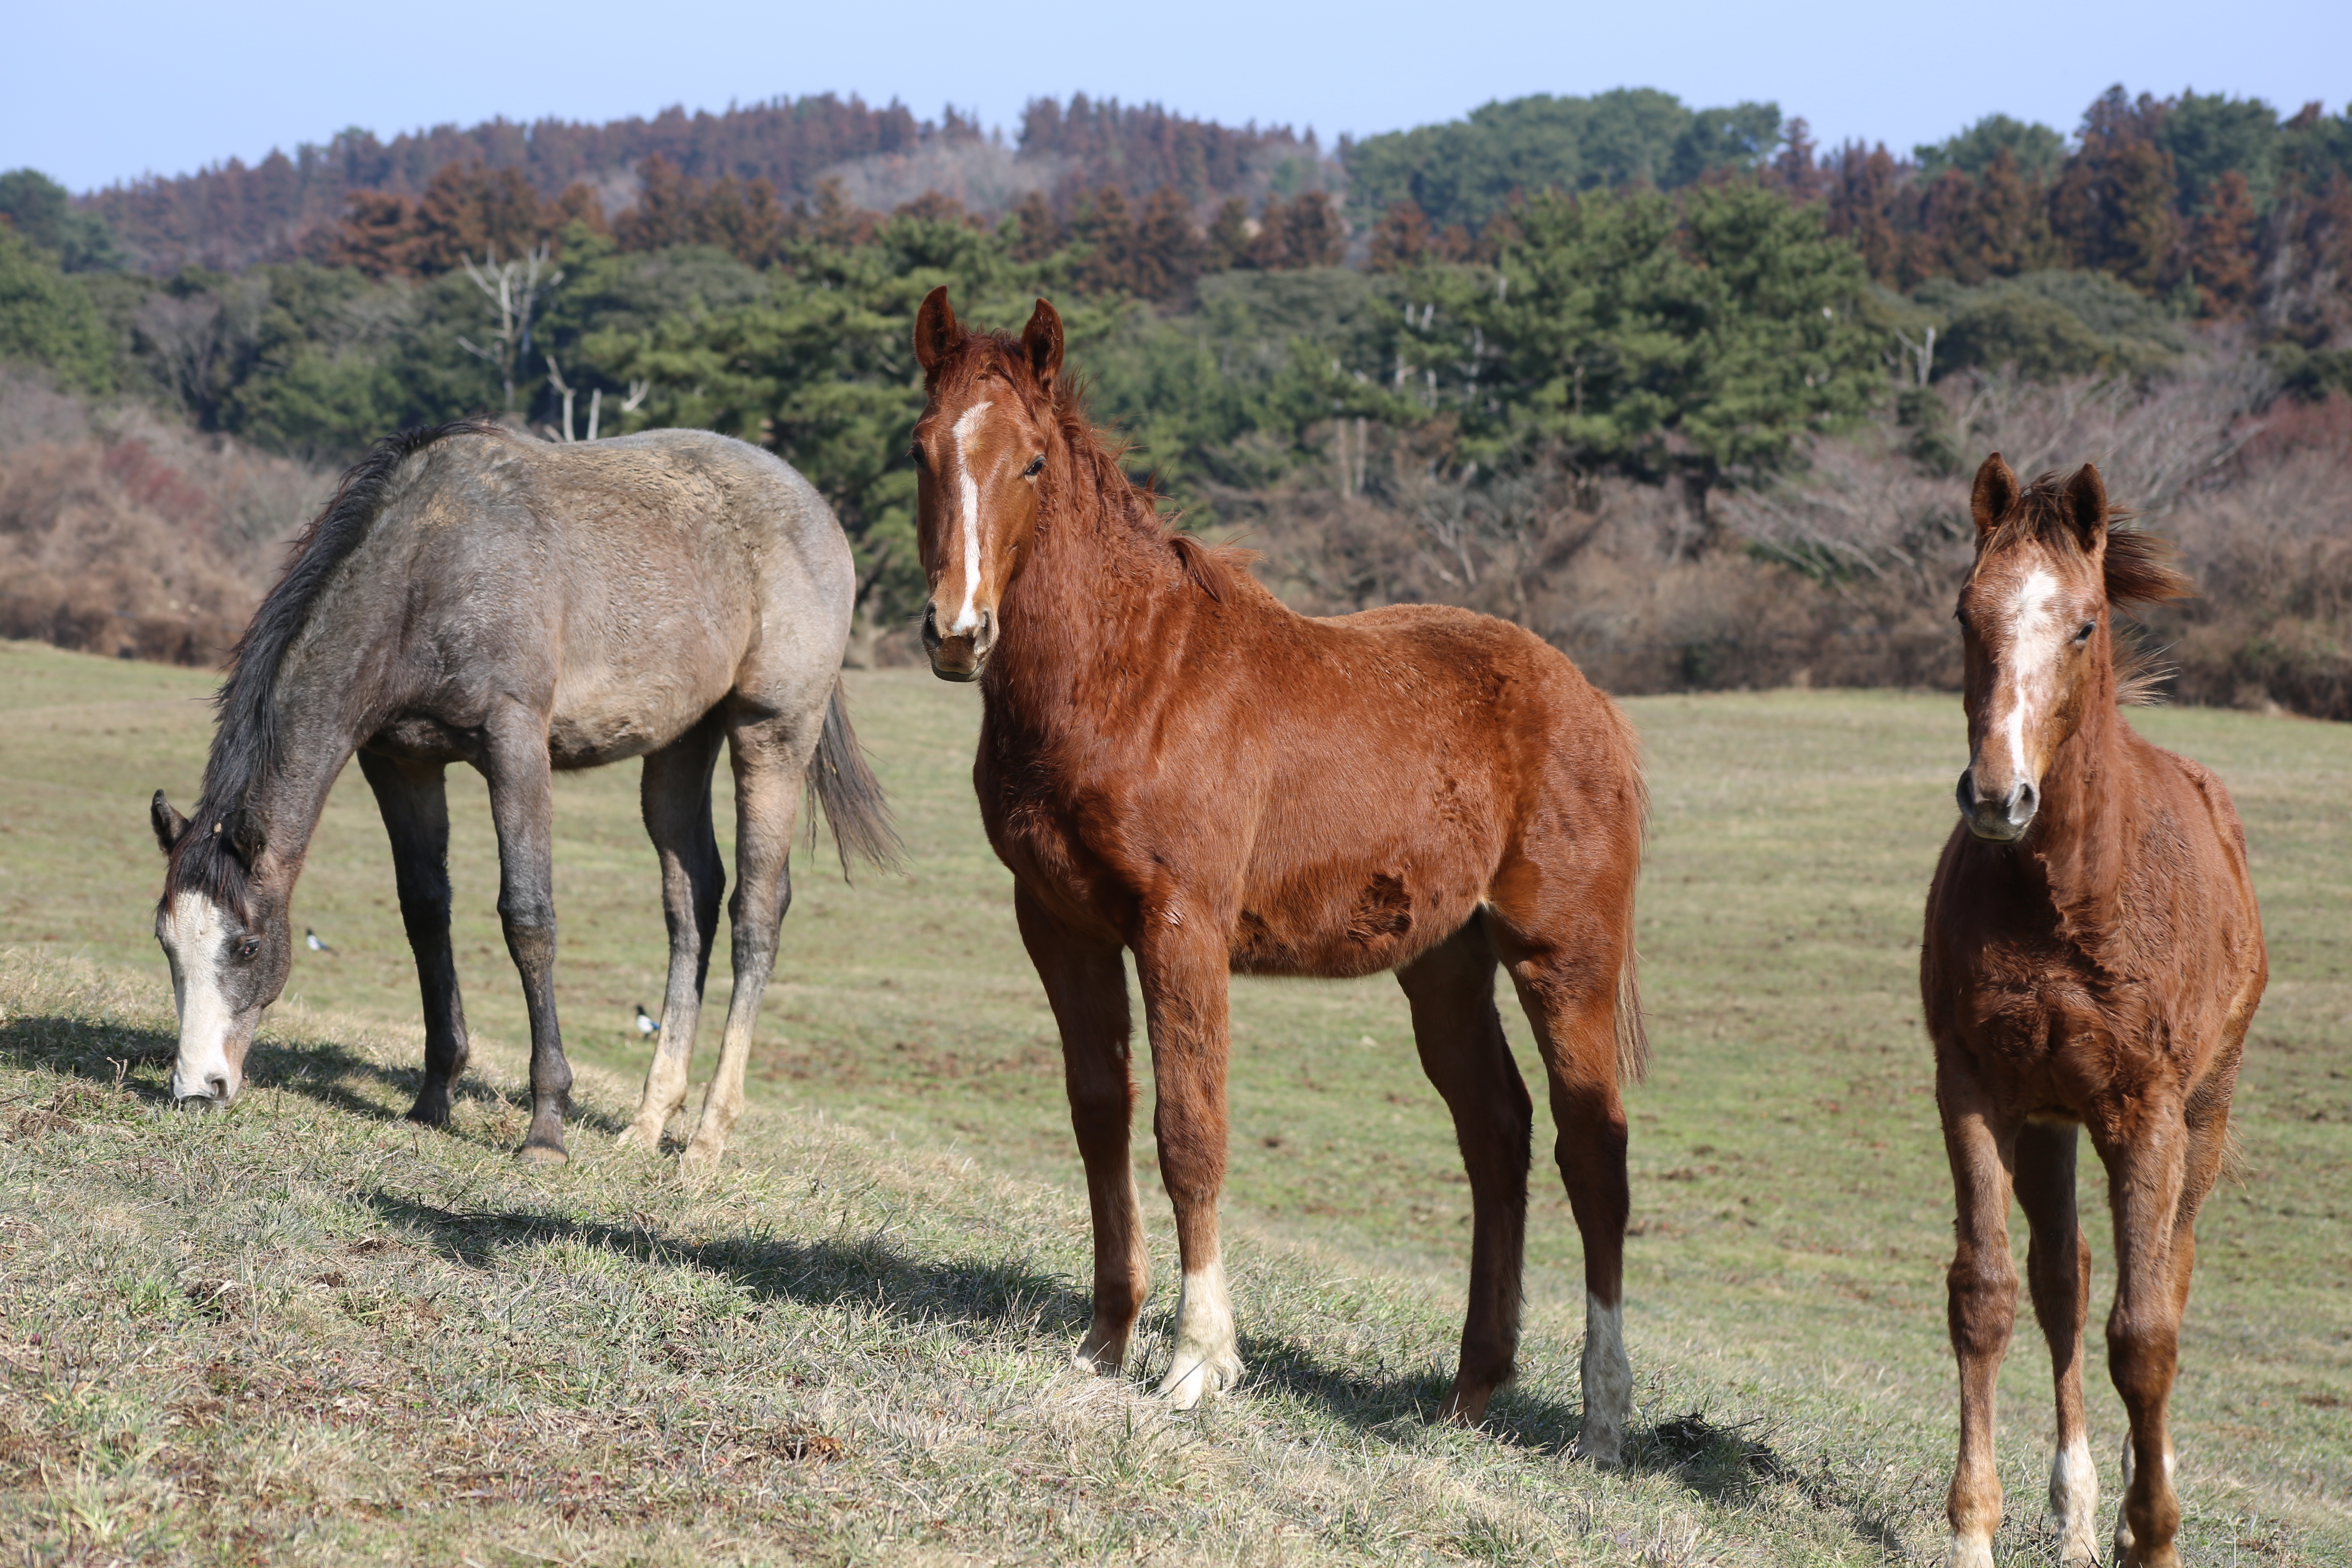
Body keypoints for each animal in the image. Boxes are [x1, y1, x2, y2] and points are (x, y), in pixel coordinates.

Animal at [147, 423, 893, 1171]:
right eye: (165, 943)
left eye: (247, 947)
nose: (198, 1088)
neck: (430, 571)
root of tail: (816, 508)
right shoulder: (401, 762)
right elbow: (425, 913)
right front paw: (433, 1099)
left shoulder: (515, 746)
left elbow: (528, 920)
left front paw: (547, 1129)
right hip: (680, 745)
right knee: (692, 903)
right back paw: (649, 1121)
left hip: (771, 735)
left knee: (757, 912)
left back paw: (707, 1139)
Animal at [908, 288, 1646, 1467]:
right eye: (923, 448)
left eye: (1029, 461)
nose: (956, 630)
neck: (1128, 675)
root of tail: (1589, 702)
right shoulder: (1058, 923)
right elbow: (1099, 1112)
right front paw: (1104, 1340)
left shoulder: (1181, 927)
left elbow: (1188, 1129)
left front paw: (1196, 1362)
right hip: (1444, 963)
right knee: (1496, 1134)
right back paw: (1467, 1393)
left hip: (1559, 956)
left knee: (1593, 1152)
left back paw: (1601, 1418)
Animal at [1919, 456, 2267, 1568]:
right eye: (1965, 612)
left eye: (2081, 626)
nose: (1997, 796)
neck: (2067, 896)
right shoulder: (1977, 1089)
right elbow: (1987, 1296)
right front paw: (1974, 1530)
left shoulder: (2147, 1111)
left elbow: (2145, 1331)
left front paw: (2151, 1532)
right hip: (2050, 1122)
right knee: (2061, 1281)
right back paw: (2074, 1510)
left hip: (2201, 1114)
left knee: (2169, 1272)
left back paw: (2128, 1498)